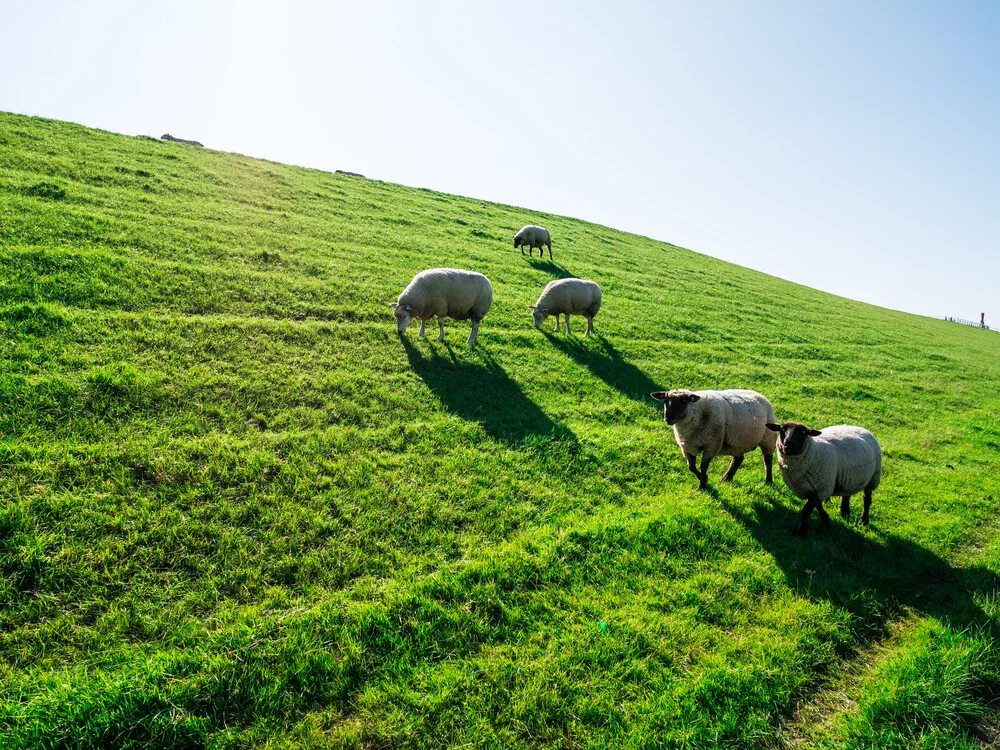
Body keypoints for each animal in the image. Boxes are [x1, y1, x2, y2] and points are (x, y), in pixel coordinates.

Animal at [648, 388, 780, 494]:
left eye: (684, 401)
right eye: (666, 400)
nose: (668, 417)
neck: (697, 413)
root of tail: (759, 394)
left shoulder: (711, 445)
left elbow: (703, 466)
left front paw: (702, 486)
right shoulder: (687, 446)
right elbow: (691, 467)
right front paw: (704, 479)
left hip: (768, 437)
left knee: (767, 460)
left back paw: (768, 481)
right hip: (737, 443)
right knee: (738, 459)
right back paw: (727, 478)